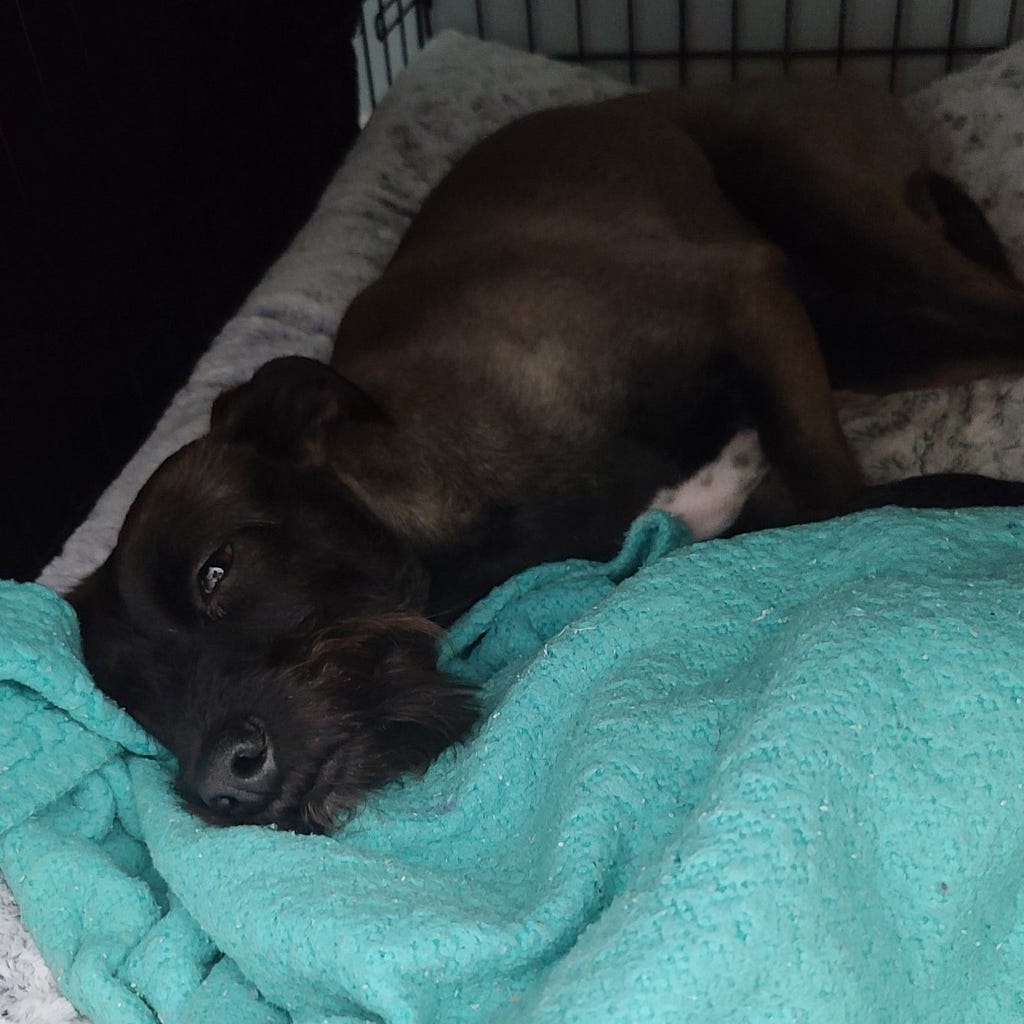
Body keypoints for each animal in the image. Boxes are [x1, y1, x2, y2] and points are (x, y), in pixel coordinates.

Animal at [70, 79, 1024, 831]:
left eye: (218, 569)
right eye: (132, 698)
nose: (218, 788)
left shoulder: (746, 293)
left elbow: (846, 502)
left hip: (844, 227)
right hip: (877, 336)